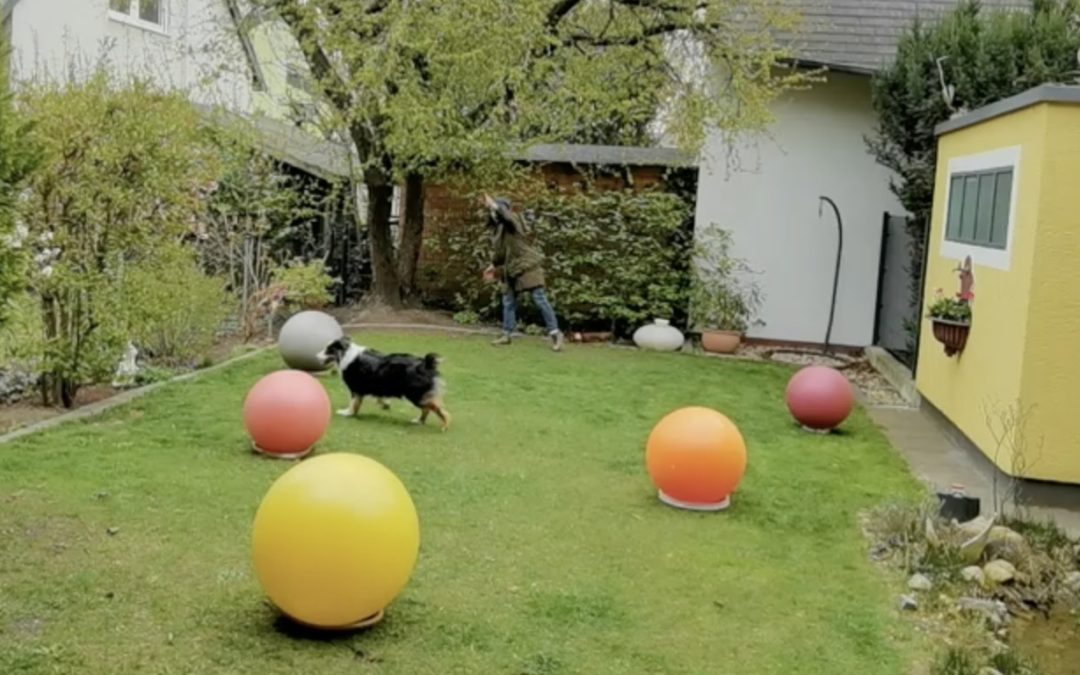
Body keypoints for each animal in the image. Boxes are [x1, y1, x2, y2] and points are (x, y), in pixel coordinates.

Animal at [315, 336, 449, 432]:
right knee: (427, 408)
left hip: (415, 395)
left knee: (437, 409)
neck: (345, 353)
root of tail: (425, 364)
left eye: (328, 349)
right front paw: (384, 404)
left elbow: (353, 403)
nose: (316, 356)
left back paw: (444, 425)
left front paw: (347, 413)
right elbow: (377, 399)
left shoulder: (355, 389)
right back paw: (419, 421)